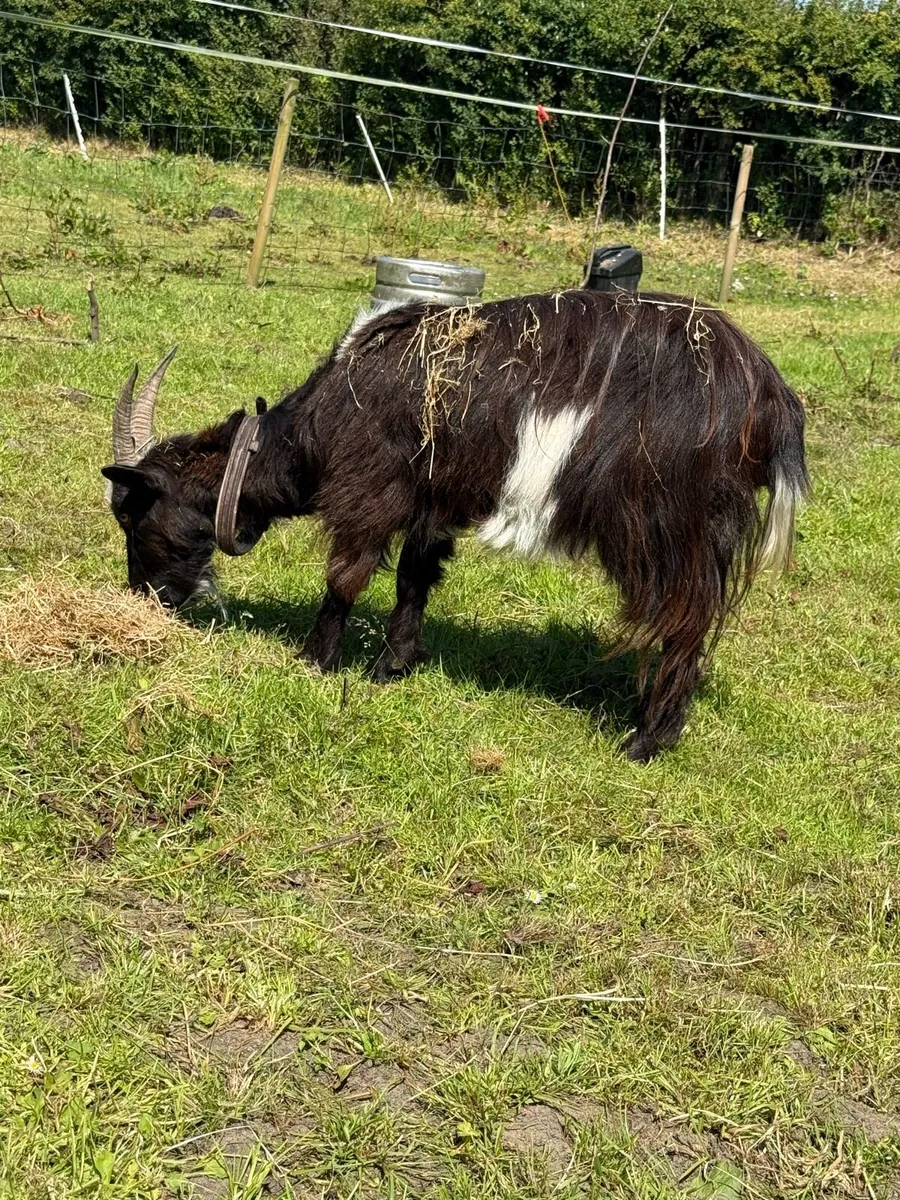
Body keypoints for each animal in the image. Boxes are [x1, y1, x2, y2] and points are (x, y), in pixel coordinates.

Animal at [101, 289, 808, 760]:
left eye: (133, 513)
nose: (148, 597)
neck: (324, 418)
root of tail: (772, 403)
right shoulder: (429, 500)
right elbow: (415, 576)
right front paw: (392, 666)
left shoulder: (370, 486)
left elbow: (346, 576)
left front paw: (315, 661)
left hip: (674, 527)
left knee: (686, 620)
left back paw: (644, 740)